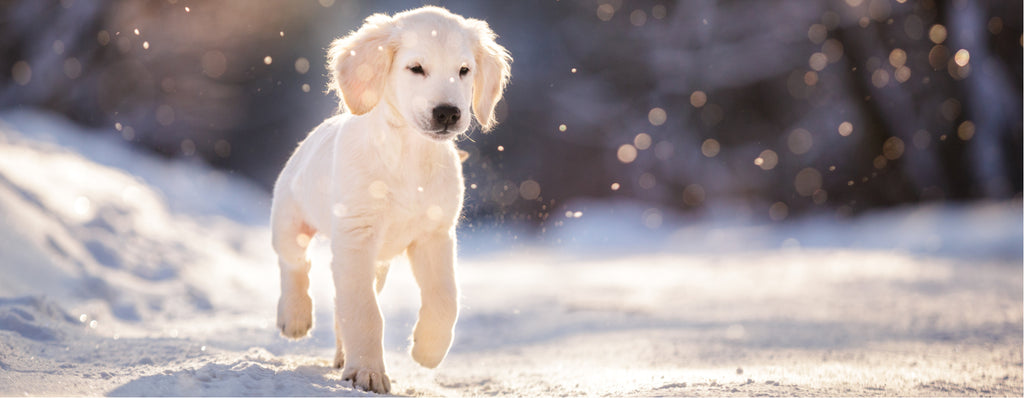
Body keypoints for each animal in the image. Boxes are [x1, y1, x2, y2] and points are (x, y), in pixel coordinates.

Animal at [268, 4, 512, 392]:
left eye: (464, 70)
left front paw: (428, 349)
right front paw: (368, 372)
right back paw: (294, 316)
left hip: (377, 263)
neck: (409, 155)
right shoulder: (356, 236)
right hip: (290, 220)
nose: (448, 112)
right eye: (416, 68)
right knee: (295, 263)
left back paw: (342, 354)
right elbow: (365, 312)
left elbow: (445, 298)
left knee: (338, 299)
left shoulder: (435, 235)